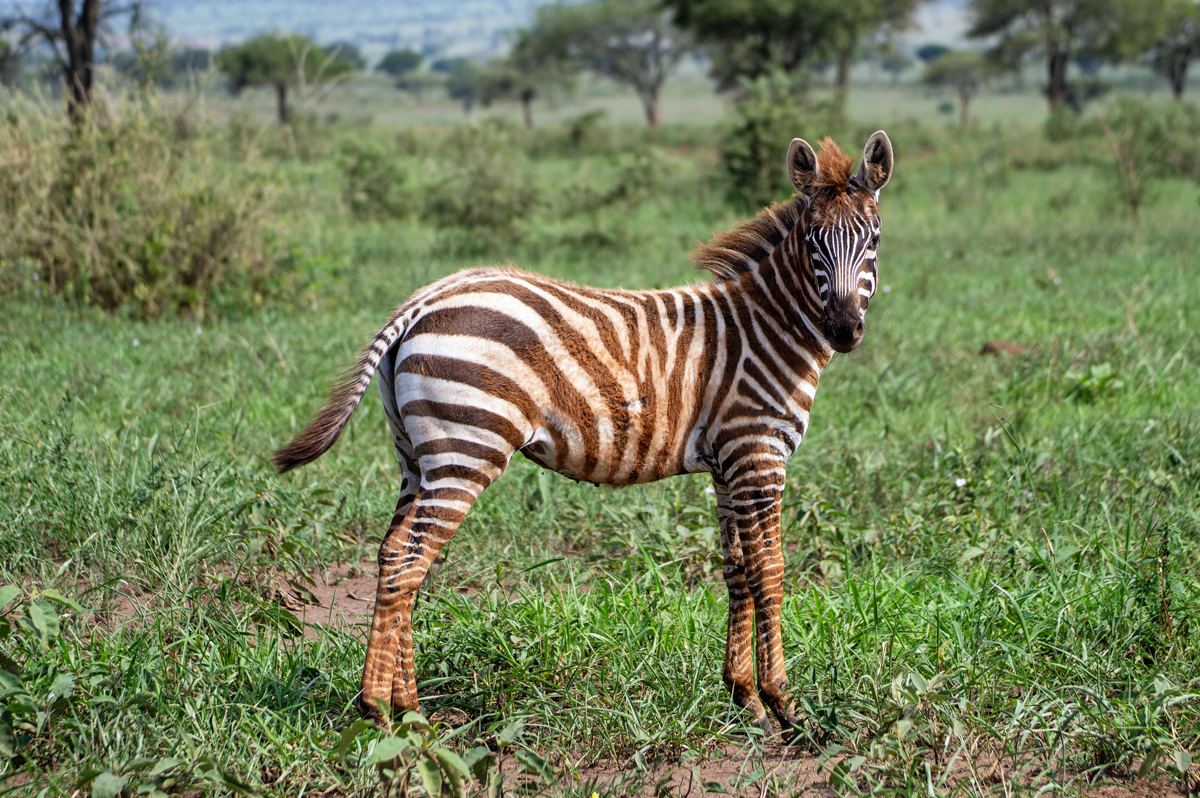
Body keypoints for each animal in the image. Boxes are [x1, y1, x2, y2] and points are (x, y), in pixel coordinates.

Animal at [274, 131, 894, 736]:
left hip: (415, 456)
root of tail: (427, 297)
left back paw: (408, 712)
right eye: (812, 242)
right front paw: (784, 704)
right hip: (466, 450)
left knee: (394, 555)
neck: (769, 330)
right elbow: (770, 574)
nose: (844, 330)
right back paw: (381, 709)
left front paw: (745, 698)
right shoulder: (757, 455)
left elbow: (737, 573)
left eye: (874, 239)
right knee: (409, 560)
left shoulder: (727, 467)